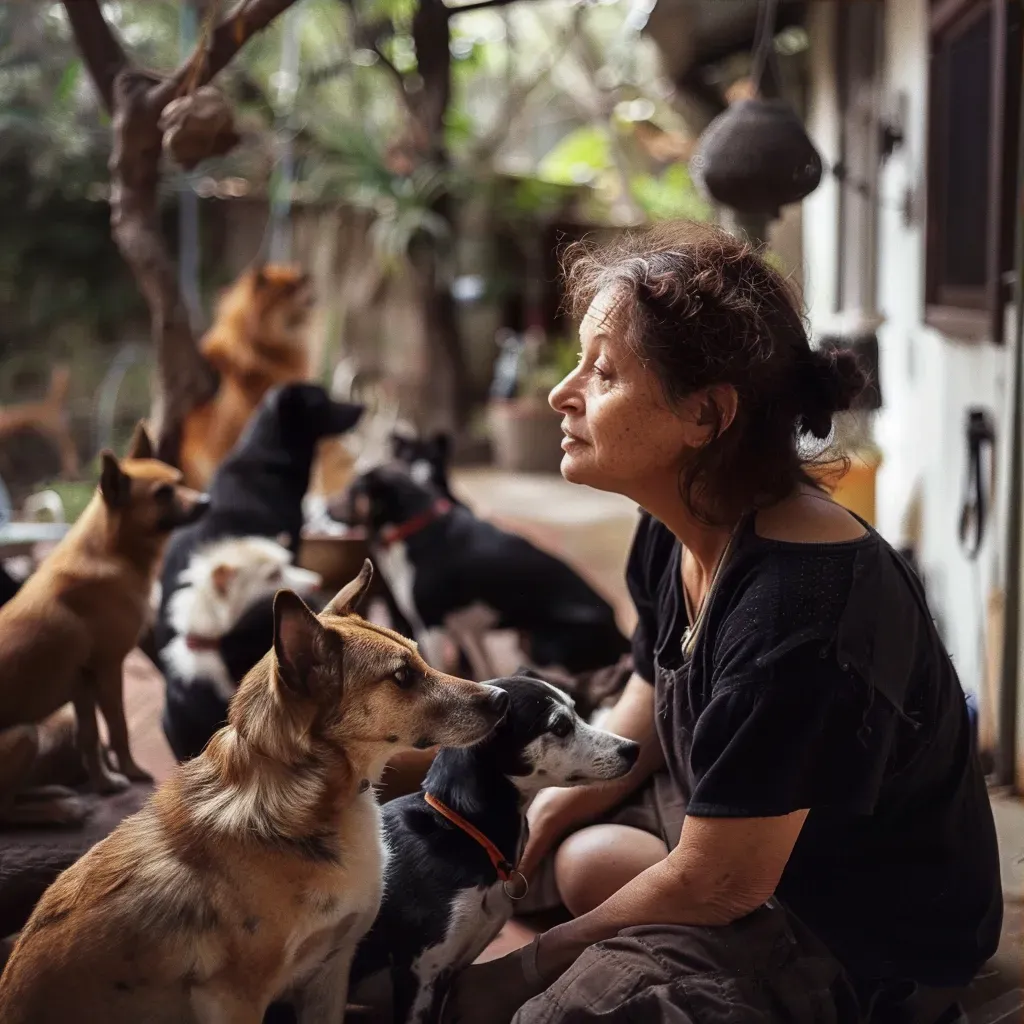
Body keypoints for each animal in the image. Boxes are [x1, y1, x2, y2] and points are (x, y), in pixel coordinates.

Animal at [0, 423, 207, 823]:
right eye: (162, 494)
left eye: (179, 480)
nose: (206, 501)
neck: (113, 553)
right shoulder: (110, 671)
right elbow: (119, 728)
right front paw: (133, 773)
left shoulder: (81, 686)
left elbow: (91, 740)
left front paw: (107, 783)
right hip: (26, 734)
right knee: (4, 809)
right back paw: (60, 809)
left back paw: (52, 792)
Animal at [0, 561, 509, 1024]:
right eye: (403, 677)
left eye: (420, 657)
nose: (501, 699)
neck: (308, 796)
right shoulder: (235, 999)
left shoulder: (331, 973)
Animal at [331, 466, 630, 675]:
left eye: (350, 491)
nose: (326, 508)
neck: (415, 527)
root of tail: (620, 632)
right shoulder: (469, 629)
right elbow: (484, 669)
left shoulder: (431, 626)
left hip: (542, 646)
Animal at [354, 671, 638, 1024]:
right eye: (560, 726)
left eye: (577, 710)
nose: (633, 748)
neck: (462, 832)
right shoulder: (420, 974)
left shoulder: (447, 972)